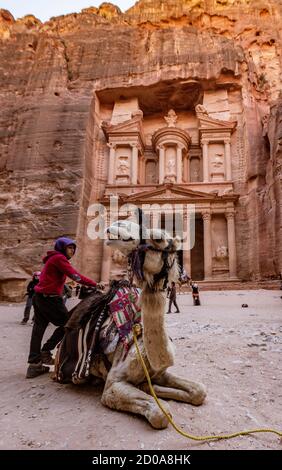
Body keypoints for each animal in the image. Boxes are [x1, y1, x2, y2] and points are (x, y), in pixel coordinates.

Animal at [55, 218, 205, 428]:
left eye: (158, 238)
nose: (119, 224)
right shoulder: (113, 384)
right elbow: (161, 413)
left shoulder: (159, 372)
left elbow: (199, 391)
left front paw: (149, 387)